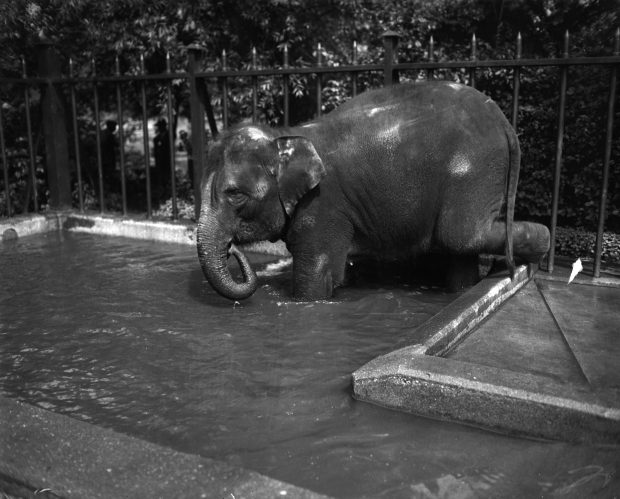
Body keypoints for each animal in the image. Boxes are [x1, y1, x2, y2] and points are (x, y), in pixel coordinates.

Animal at [196, 81, 548, 300]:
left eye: (235, 195)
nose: (232, 249)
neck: (284, 135)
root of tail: (504, 122)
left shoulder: (323, 206)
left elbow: (316, 278)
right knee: (461, 245)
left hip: (472, 169)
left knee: (459, 235)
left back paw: (538, 247)